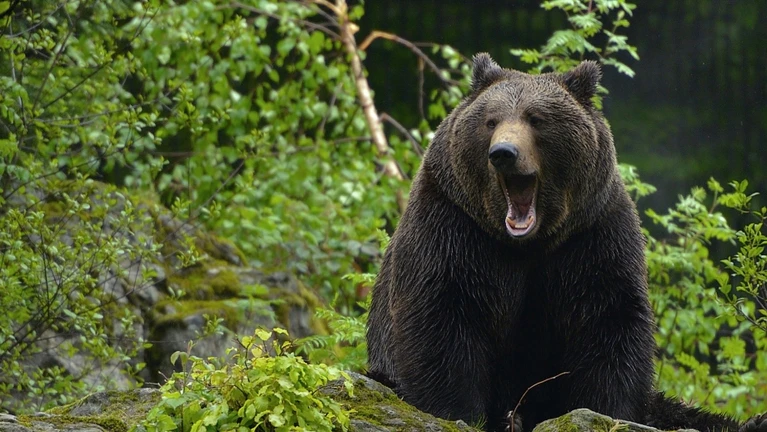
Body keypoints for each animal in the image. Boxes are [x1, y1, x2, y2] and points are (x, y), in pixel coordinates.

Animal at [366, 53, 767, 432]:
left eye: (536, 119)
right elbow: (442, 310)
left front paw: (606, 411)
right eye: (491, 121)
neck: (528, 243)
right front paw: (461, 412)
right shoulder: (453, 224)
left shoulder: (591, 235)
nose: (503, 153)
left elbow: (608, 319)